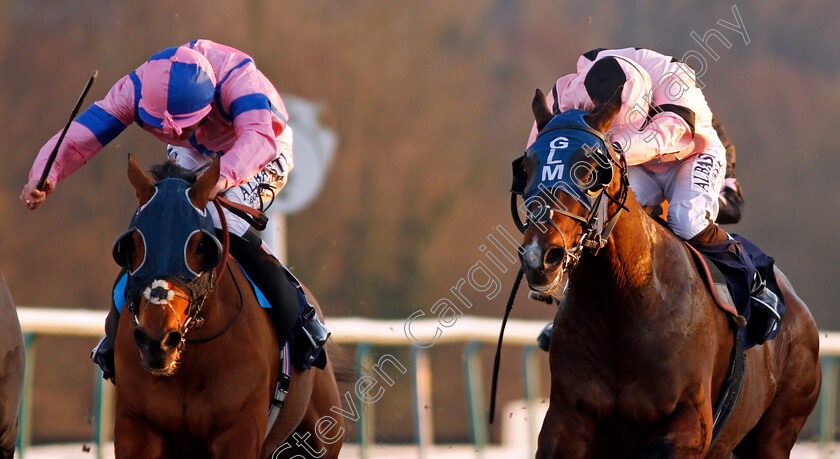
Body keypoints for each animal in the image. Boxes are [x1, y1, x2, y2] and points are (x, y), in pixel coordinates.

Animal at [111, 155, 342, 459]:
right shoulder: (137, 427)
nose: (156, 341)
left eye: (200, 245)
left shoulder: (238, 431)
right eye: (134, 244)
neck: (191, 362)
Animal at [520, 91, 824, 458]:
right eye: (527, 167)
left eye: (591, 170)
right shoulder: (566, 420)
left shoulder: (691, 423)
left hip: (777, 431)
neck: (622, 304)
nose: (539, 256)